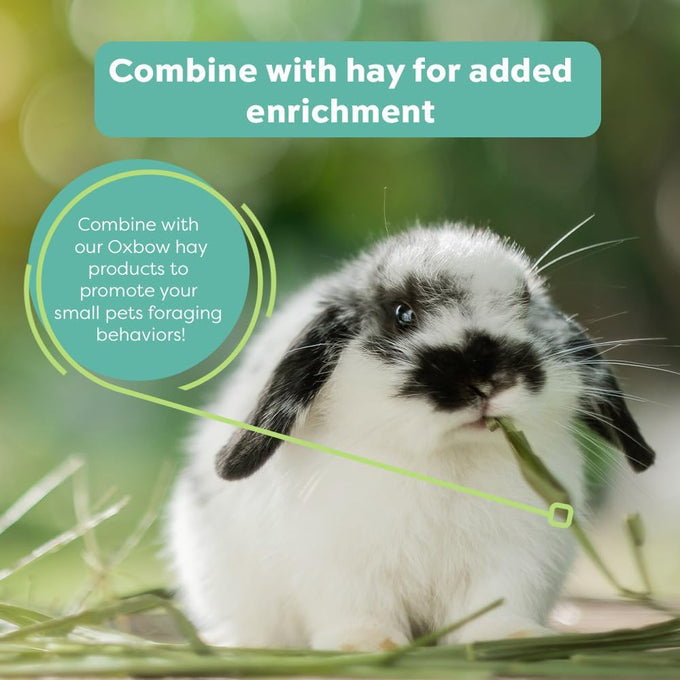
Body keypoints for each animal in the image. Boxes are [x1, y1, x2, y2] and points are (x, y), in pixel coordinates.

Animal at [166, 224, 655, 650]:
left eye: (523, 305)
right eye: (403, 314)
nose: (486, 381)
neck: (446, 460)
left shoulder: (513, 562)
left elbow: (497, 608)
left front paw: (513, 638)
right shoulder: (340, 566)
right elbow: (359, 612)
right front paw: (365, 645)